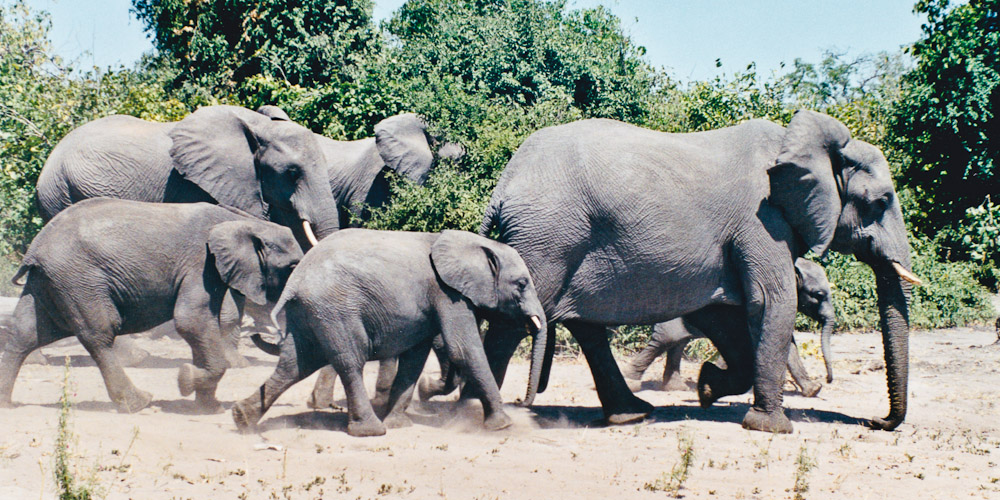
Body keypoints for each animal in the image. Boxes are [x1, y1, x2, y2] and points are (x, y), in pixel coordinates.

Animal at [0, 199, 302, 413]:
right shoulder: (201, 263)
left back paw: (6, 405)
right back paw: (139, 403)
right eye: (293, 266)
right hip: (79, 280)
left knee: (25, 334)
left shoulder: (212, 270)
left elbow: (201, 324)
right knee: (100, 334)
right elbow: (191, 321)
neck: (242, 221)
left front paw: (208, 407)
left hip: (48, 281)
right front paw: (184, 380)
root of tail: (35, 248)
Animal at [232, 229, 547, 437]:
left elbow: (415, 359)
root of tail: (294, 281)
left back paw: (242, 419)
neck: (475, 243)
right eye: (521, 284)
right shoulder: (447, 293)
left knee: (296, 364)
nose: (521, 403)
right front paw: (503, 425)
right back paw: (371, 430)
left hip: (311, 312)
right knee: (349, 361)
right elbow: (463, 349)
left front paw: (400, 423)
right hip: (335, 308)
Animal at [622, 257, 837, 395]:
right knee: (666, 340)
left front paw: (813, 391)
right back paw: (632, 383)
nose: (828, 379)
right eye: (818, 295)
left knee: (677, 342)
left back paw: (676, 388)